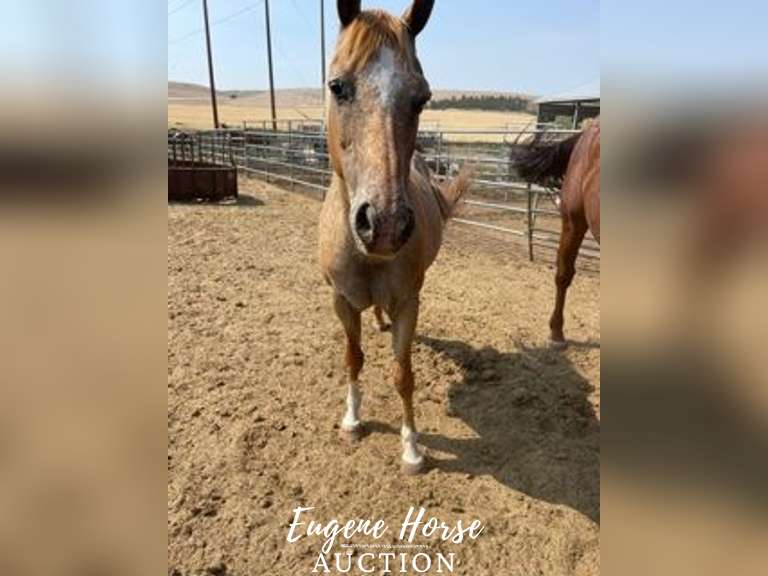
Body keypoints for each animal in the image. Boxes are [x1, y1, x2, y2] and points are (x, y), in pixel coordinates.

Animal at [317, 0, 470, 474]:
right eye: (337, 86)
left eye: (422, 98)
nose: (384, 224)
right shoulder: (341, 300)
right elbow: (353, 358)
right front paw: (351, 420)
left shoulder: (408, 302)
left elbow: (404, 375)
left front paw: (412, 448)